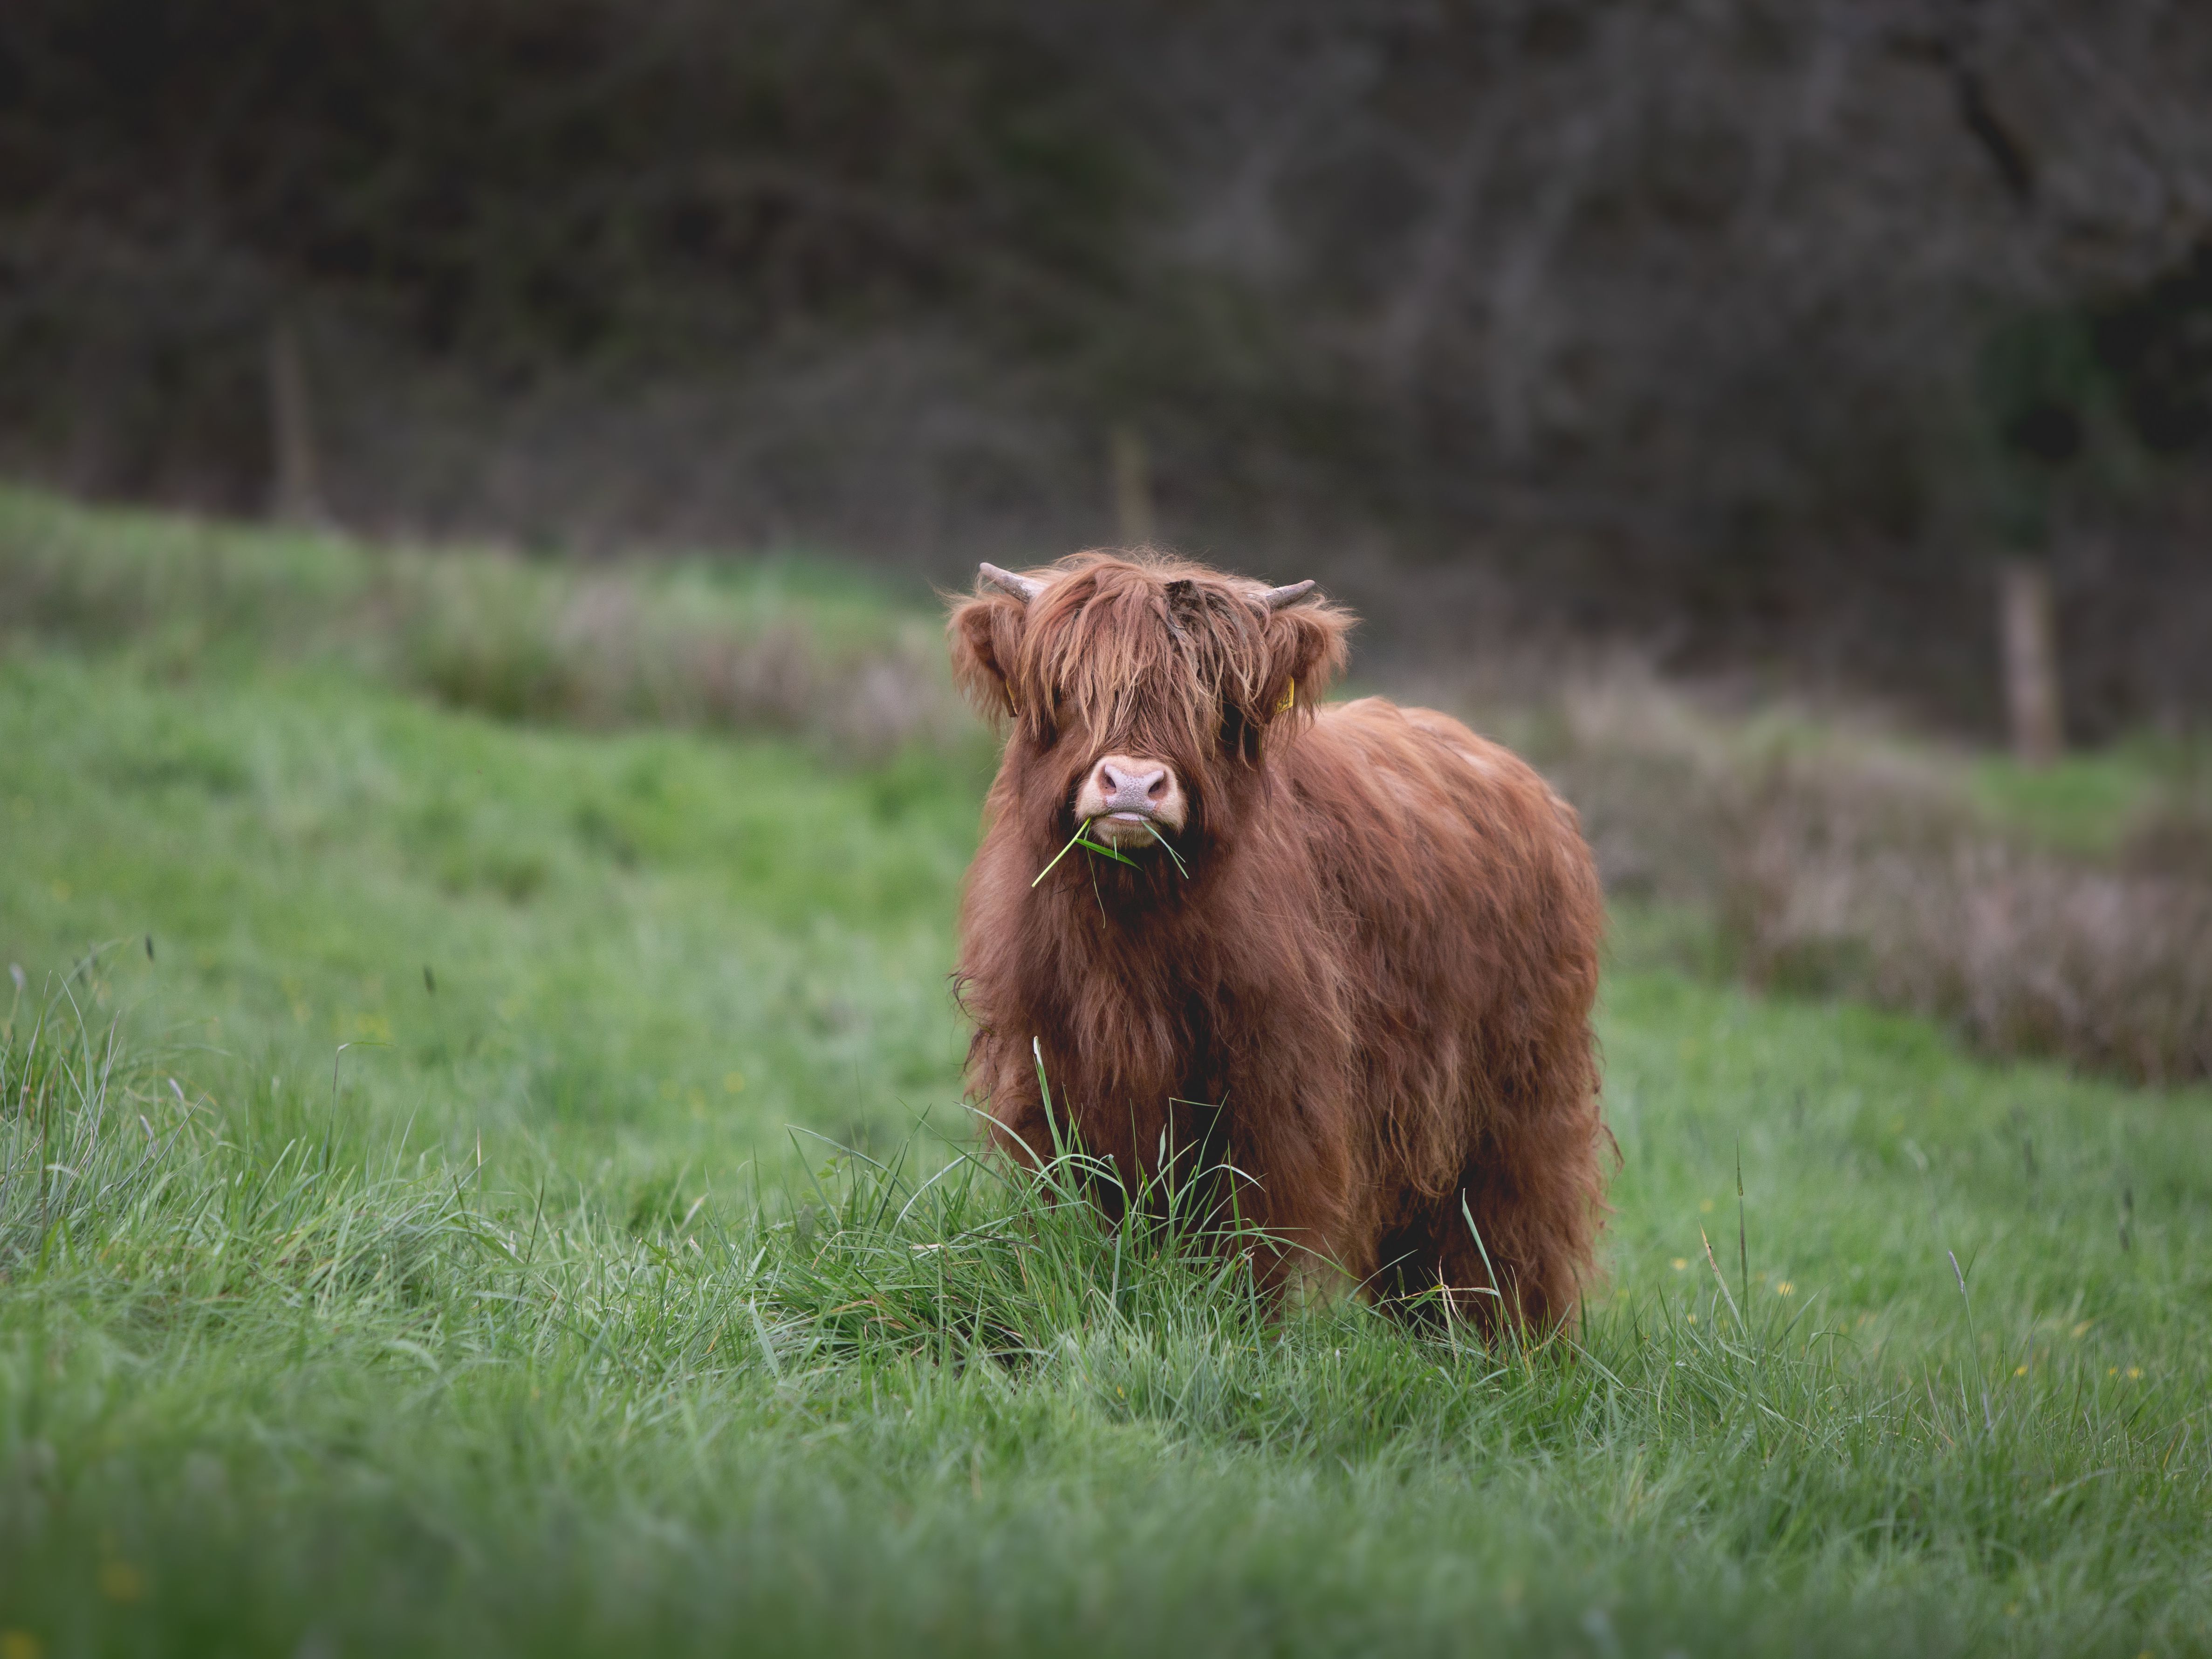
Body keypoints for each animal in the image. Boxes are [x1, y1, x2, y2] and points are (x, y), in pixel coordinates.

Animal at [947, 551, 1607, 1334]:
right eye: (1070, 689)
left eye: (1206, 701)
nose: (1133, 785)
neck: (1130, 934)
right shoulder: (1054, 1074)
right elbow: (1095, 1208)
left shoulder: (1274, 1086)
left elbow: (1245, 1227)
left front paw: (1230, 1324)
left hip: (1518, 1102)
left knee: (1506, 1235)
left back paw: (1506, 1348)